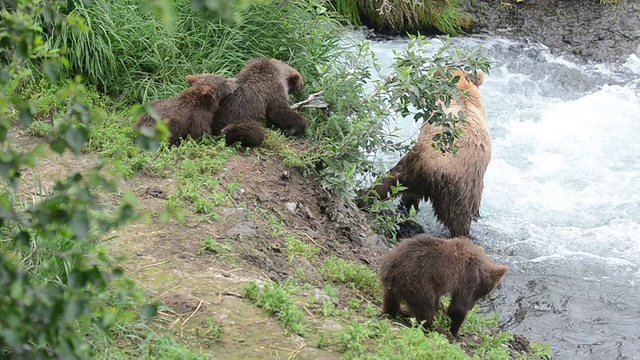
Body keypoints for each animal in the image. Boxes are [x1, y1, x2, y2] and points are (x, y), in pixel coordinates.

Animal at [378, 235, 508, 338]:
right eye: (480, 294)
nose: (472, 306)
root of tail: (394, 267)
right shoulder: (467, 278)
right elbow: (458, 308)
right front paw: (455, 332)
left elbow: (440, 302)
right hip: (418, 281)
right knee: (425, 308)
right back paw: (440, 331)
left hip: (391, 281)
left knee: (390, 300)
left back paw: (398, 311)